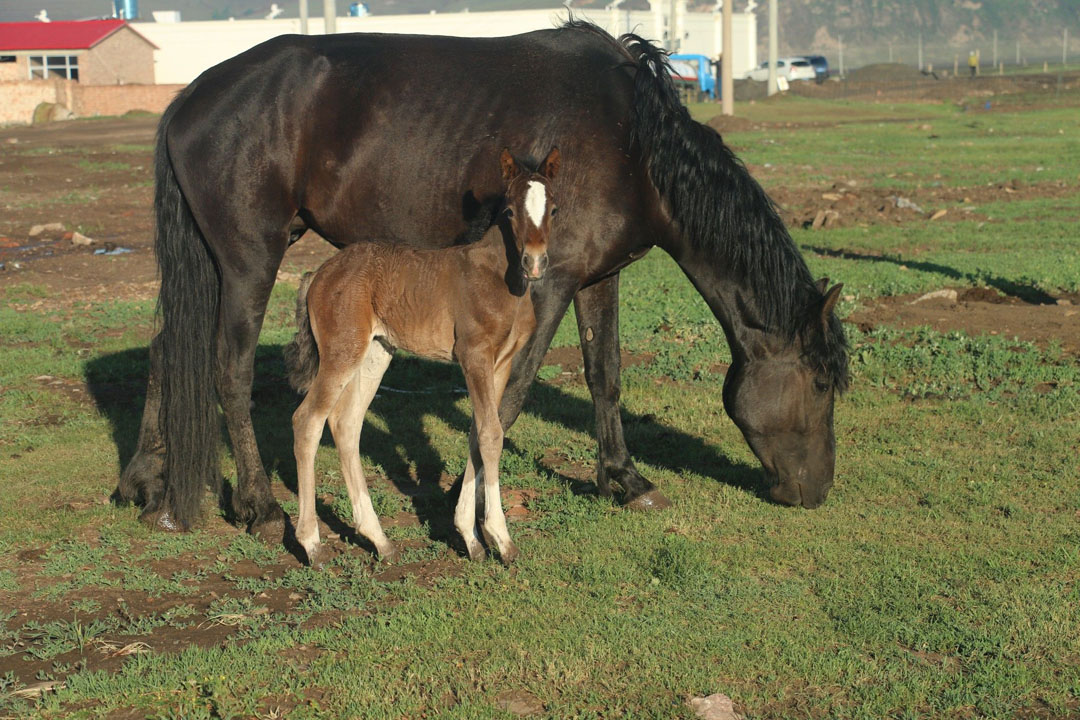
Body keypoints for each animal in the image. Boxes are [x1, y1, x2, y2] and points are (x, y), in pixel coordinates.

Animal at [285, 148, 560, 566]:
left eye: (554, 209)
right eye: (510, 211)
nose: (535, 262)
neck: (502, 279)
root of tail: (317, 274)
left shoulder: (501, 364)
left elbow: (478, 432)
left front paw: (471, 538)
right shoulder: (474, 356)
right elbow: (491, 434)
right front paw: (501, 539)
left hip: (376, 352)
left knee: (346, 423)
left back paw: (379, 540)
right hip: (341, 351)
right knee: (308, 421)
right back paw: (312, 544)